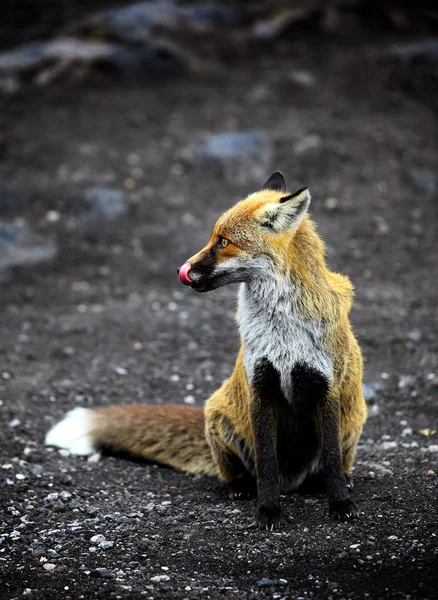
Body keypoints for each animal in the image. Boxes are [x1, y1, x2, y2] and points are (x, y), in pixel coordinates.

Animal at [45, 171, 366, 528]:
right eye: (213, 237)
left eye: (224, 241)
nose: (180, 270)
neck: (283, 331)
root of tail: (293, 480)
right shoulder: (260, 386)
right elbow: (266, 464)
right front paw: (268, 509)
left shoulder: (326, 387)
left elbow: (332, 460)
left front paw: (340, 503)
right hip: (218, 417)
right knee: (241, 473)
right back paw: (241, 486)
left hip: (352, 419)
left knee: (336, 463)